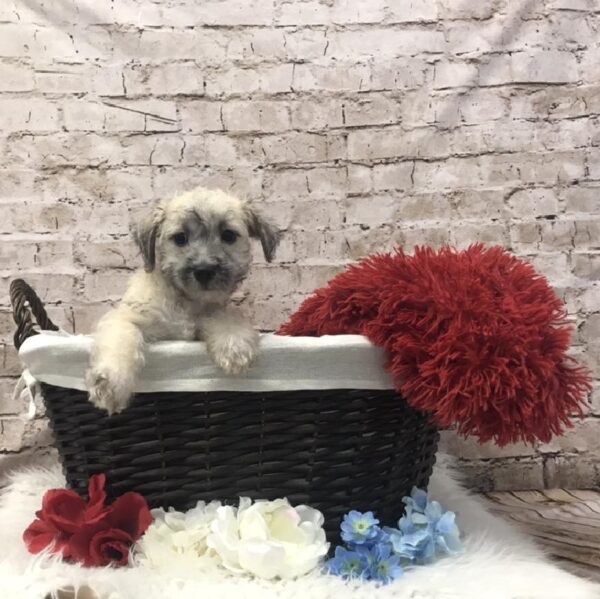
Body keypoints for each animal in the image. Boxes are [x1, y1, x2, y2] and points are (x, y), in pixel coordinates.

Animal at [85, 185, 282, 414]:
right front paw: (111, 383)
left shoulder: (209, 315)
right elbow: (123, 338)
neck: (184, 302)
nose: (204, 271)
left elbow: (223, 317)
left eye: (228, 235)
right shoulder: (126, 317)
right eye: (180, 238)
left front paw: (235, 346)